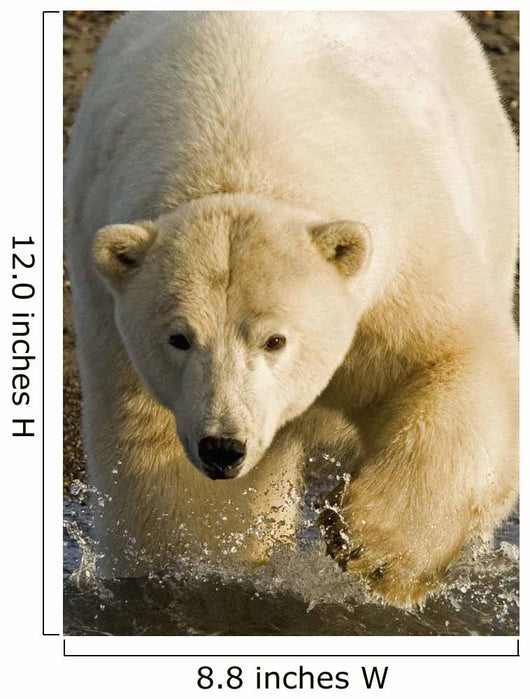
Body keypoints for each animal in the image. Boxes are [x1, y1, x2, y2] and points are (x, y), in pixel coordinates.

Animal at [65, 11, 518, 607]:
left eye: (275, 340)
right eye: (179, 338)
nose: (223, 447)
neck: (235, 143)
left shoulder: (400, 251)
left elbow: (454, 357)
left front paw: (373, 551)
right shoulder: (117, 333)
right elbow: (162, 460)